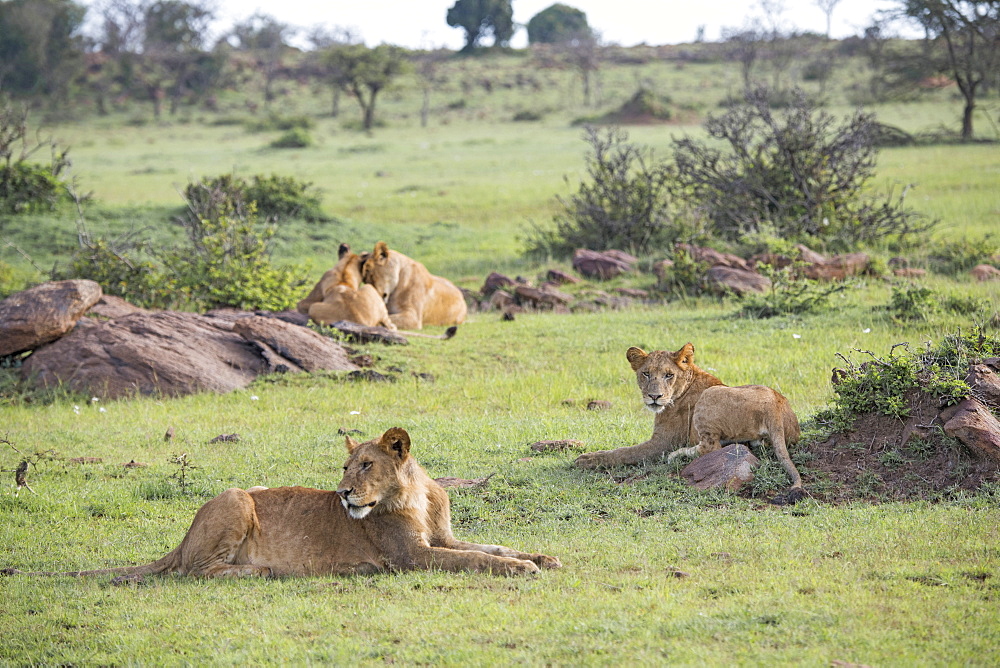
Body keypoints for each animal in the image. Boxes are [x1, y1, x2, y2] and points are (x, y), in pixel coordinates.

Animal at [3, 428, 560, 580]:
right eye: (345, 467)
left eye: (365, 465)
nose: (342, 494)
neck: (415, 495)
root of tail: (182, 537)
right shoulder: (412, 557)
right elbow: (475, 560)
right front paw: (523, 570)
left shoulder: (440, 538)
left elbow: (493, 547)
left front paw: (542, 558)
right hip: (235, 500)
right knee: (195, 571)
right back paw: (269, 571)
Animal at [580, 348, 804, 504]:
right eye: (646, 373)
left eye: (669, 375)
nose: (654, 396)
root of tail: (775, 405)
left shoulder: (662, 442)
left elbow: (624, 452)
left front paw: (588, 459)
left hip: (710, 395)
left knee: (711, 447)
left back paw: (677, 455)